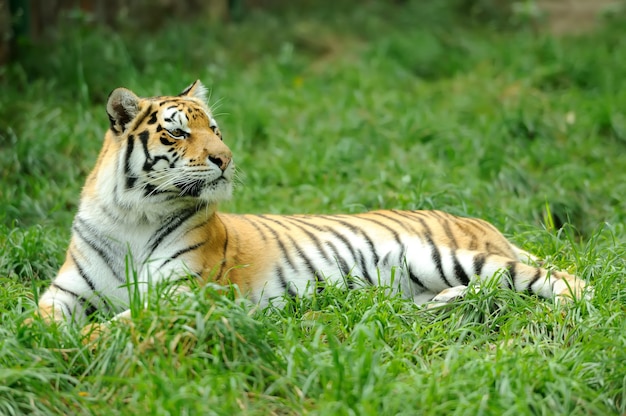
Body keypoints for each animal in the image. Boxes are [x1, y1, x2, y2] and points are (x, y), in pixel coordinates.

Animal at [37, 81, 584, 326]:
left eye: (213, 129)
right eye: (177, 132)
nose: (224, 158)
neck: (134, 214)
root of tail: (481, 221)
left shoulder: (184, 294)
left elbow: (119, 324)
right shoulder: (66, 292)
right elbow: (37, 320)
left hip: (437, 254)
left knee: (557, 279)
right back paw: (440, 305)